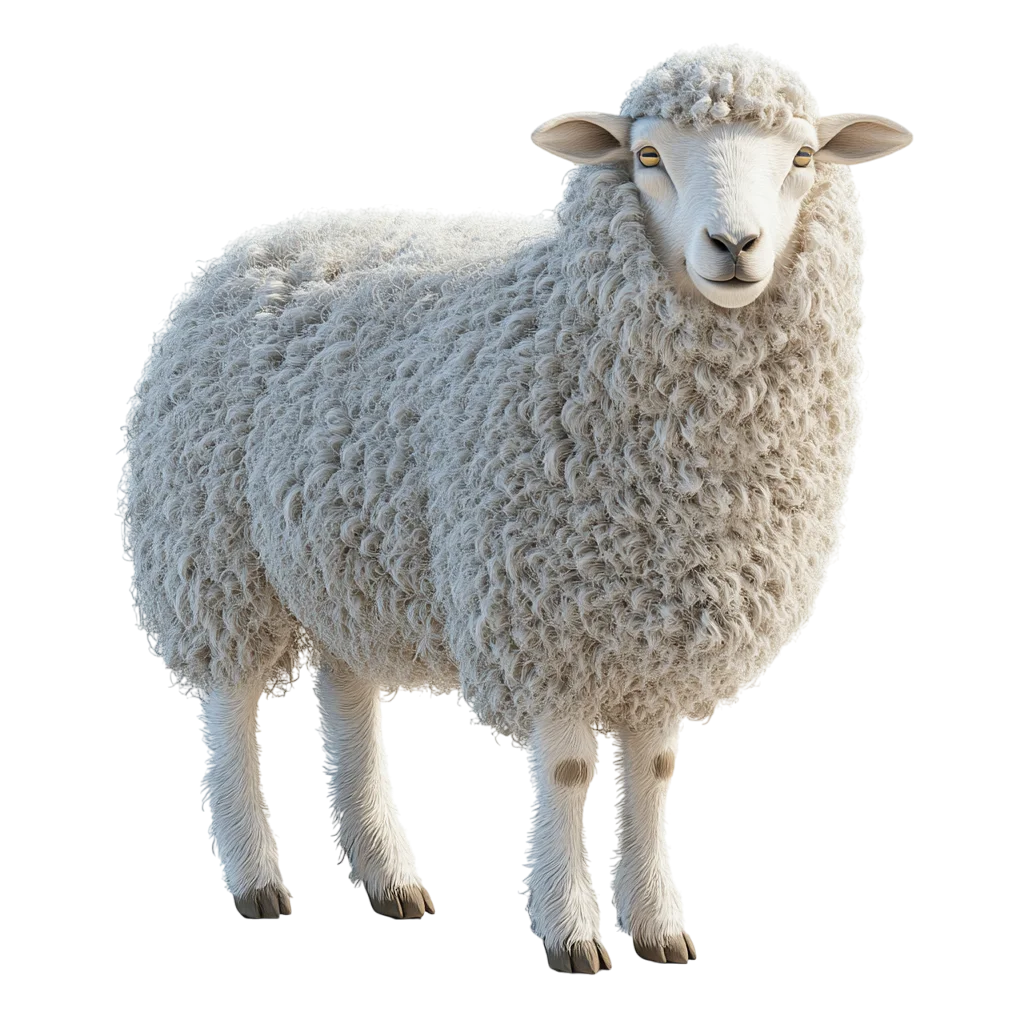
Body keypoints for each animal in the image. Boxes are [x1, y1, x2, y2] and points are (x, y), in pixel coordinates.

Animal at [121, 50, 913, 965]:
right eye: (647, 157)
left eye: (803, 158)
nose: (734, 246)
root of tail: (252, 241)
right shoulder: (544, 622)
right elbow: (567, 774)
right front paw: (572, 933)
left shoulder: (657, 630)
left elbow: (651, 775)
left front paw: (658, 928)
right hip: (211, 552)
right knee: (232, 711)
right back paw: (257, 880)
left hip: (340, 557)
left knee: (348, 701)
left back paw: (387, 877)